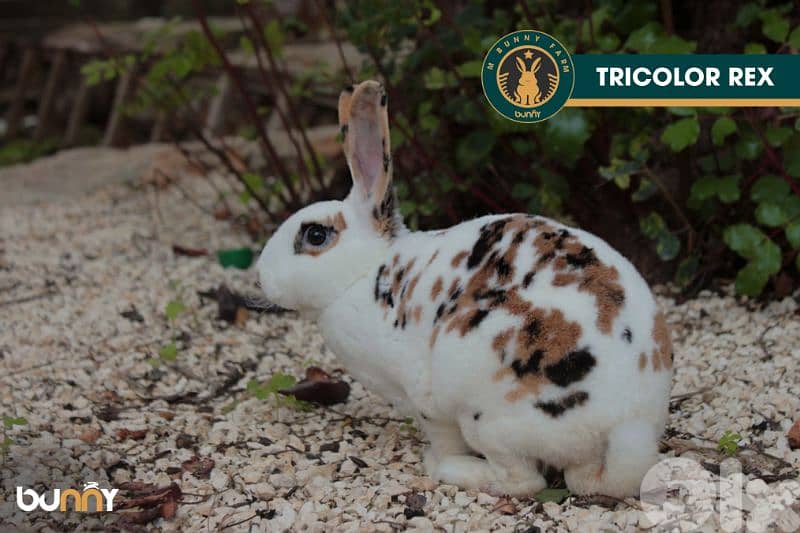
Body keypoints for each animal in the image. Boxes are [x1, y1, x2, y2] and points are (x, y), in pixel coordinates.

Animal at [256, 80, 673, 498]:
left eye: (315, 235)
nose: (259, 277)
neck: (362, 274)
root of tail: (626, 422)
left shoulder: (424, 400)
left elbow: (442, 437)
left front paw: (436, 458)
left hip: (486, 419)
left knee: (524, 480)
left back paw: (453, 470)